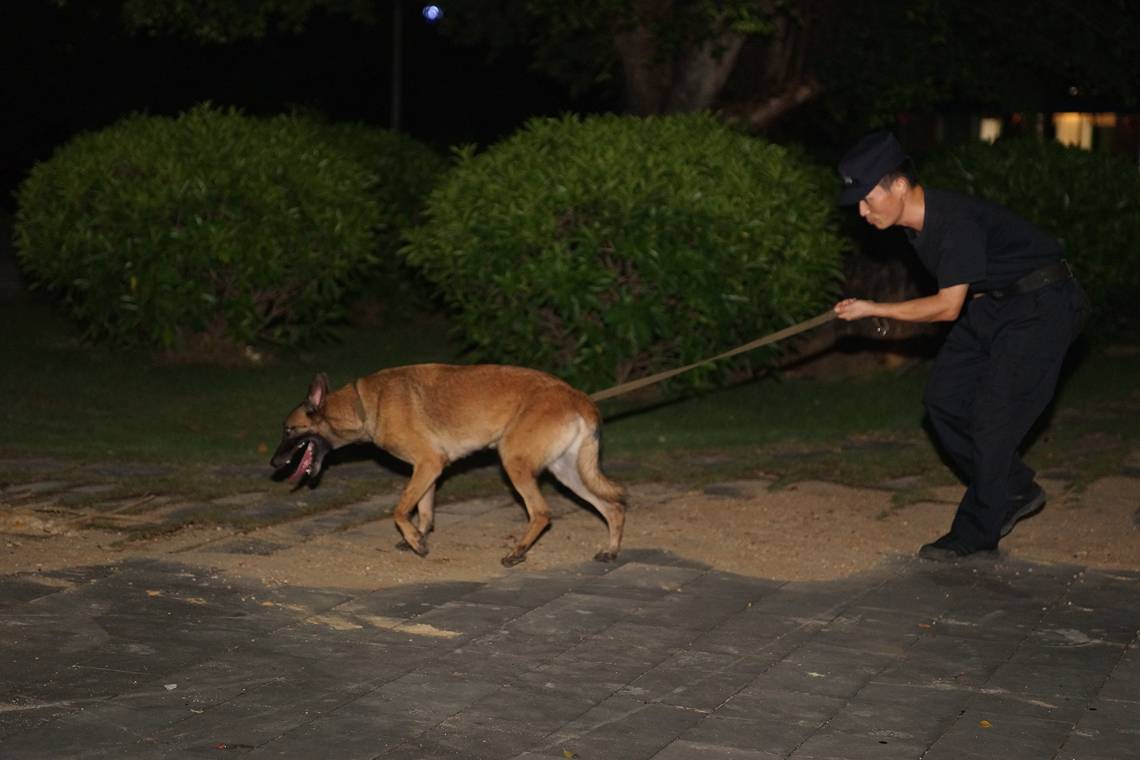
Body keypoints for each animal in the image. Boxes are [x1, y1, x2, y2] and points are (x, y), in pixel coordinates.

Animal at [271, 364, 629, 567]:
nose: (273, 463)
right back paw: (611, 551)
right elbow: (425, 510)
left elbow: (399, 510)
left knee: (541, 512)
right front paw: (417, 536)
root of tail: (578, 396)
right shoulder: (429, 468)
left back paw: (516, 553)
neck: (363, 405)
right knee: (613, 508)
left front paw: (416, 541)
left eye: (288, 430)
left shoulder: (428, 463)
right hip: (567, 472)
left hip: (514, 462)